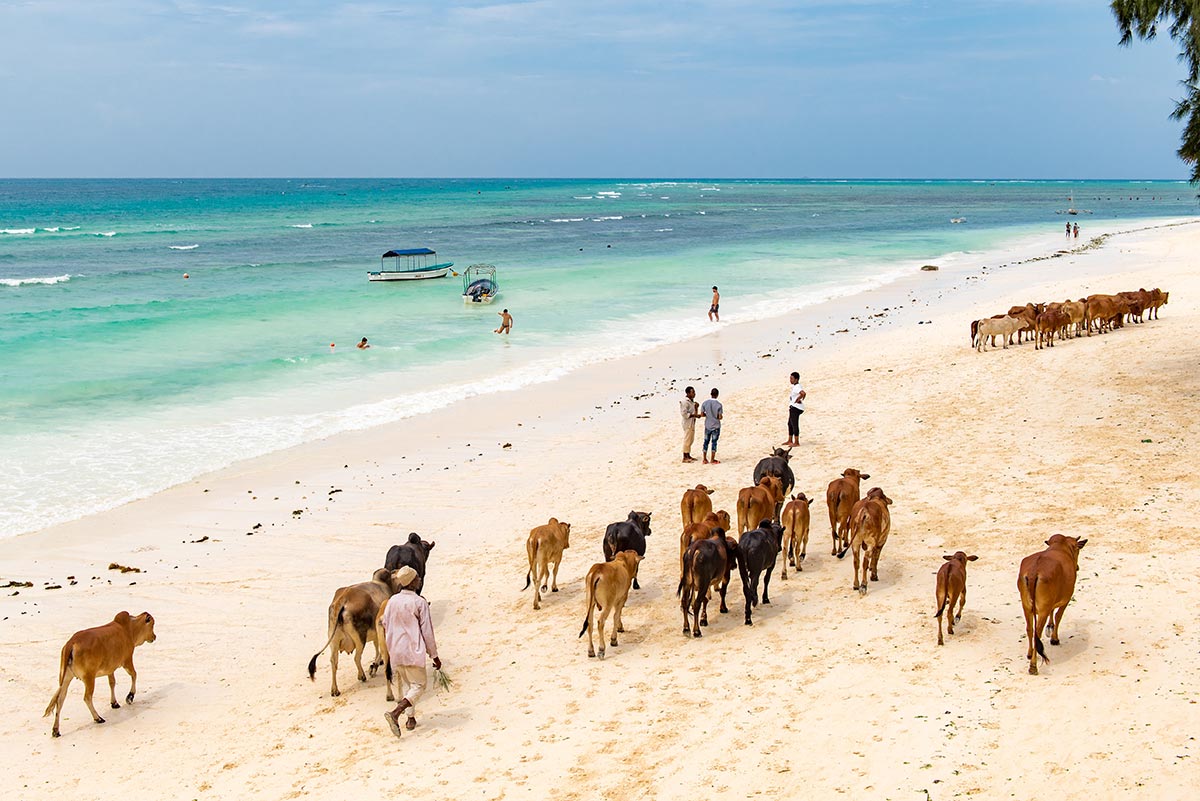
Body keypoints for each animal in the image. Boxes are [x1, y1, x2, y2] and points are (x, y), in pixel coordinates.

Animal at [1022, 534, 1089, 671]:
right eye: (1076, 548)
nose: (1077, 567)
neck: (1059, 547)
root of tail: (1034, 571)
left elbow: (1052, 612)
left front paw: (1050, 626)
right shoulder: (1066, 599)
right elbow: (1058, 616)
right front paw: (1054, 639)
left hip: (1026, 607)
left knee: (1030, 629)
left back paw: (1030, 654)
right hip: (1042, 610)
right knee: (1037, 633)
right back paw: (1033, 666)